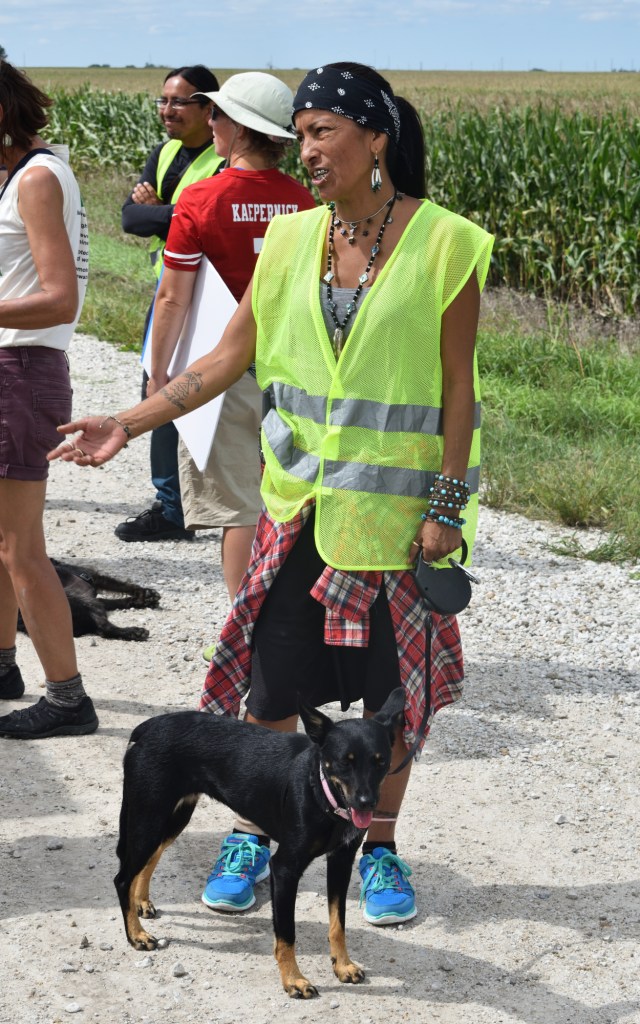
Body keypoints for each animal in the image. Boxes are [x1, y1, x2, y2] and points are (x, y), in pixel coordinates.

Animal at [17, 560, 160, 641]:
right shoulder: (94, 584)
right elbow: (124, 587)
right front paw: (144, 595)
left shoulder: (94, 587)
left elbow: (119, 593)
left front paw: (144, 597)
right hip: (82, 604)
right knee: (104, 628)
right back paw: (134, 632)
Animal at [114, 687, 406, 998]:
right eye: (344, 761)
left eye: (380, 761)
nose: (367, 802)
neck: (320, 790)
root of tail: (147, 727)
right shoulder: (285, 868)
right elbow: (287, 933)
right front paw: (293, 980)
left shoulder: (341, 861)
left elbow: (338, 924)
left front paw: (343, 965)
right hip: (150, 816)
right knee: (123, 877)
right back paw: (136, 934)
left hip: (172, 816)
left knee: (150, 858)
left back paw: (141, 901)